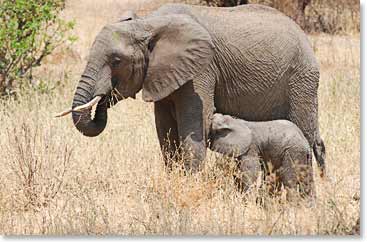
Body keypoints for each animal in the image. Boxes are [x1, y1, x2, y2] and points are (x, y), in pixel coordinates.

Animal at [61, 3, 326, 174]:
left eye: (116, 61)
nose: (104, 98)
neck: (147, 24)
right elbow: (165, 130)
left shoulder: (202, 70)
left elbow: (195, 127)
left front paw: (191, 183)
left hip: (301, 79)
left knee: (308, 134)